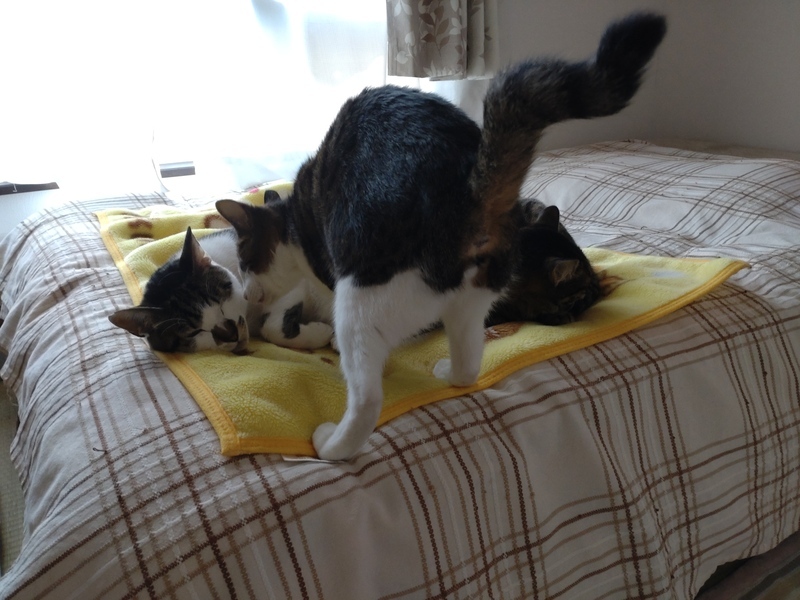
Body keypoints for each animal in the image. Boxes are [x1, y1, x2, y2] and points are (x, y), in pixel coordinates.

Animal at [109, 225, 334, 353]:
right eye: (193, 332)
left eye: (220, 302)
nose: (230, 333)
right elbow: (270, 327)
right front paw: (324, 333)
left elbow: (272, 325)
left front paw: (323, 333)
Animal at [215, 13, 667, 460]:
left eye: (244, 261)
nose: (247, 292)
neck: (296, 215)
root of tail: (470, 189)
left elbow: (283, 327)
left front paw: (312, 336)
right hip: (471, 302)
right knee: (469, 365)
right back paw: (449, 372)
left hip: (363, 300)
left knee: (367, 398)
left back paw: (333, 444)